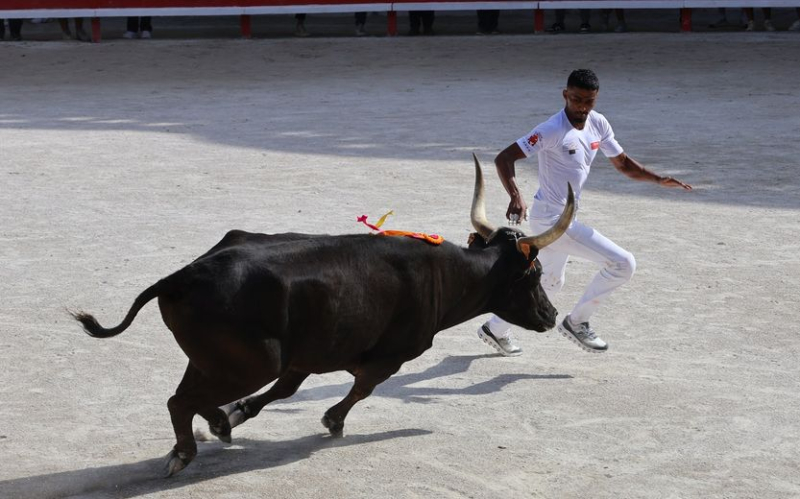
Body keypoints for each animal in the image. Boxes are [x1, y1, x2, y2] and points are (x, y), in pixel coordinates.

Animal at [73, 156, 576, 476]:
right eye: (534, 273)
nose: (551, 314)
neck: (446, 272)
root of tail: (184, 274)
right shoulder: (390, 355)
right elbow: (361, 389)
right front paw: (333, 421)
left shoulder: (307, 356)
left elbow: (285, 391)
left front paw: (237, 415)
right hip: (247, 363)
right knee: (180, 402)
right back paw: (184, 452)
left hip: (212, 359)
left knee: (190, 396)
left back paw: (216, 423)